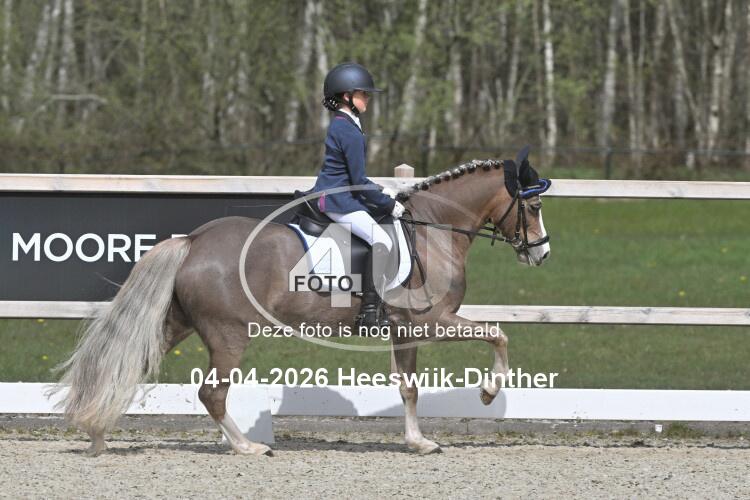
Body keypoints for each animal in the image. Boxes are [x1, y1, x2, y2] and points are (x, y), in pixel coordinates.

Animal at [50, 150, 551, 457]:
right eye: (532, 207)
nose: (541, 253)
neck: (434, 229)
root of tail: (192, 242)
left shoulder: (405, 330)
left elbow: (408, 387)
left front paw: (418, 442)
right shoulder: (434, 321)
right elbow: (497, 334)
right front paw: (488, 392)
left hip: (177, 323)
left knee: (127, 366)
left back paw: (97, 435)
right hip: (229, 334)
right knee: (212, 392)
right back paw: (249, 448)